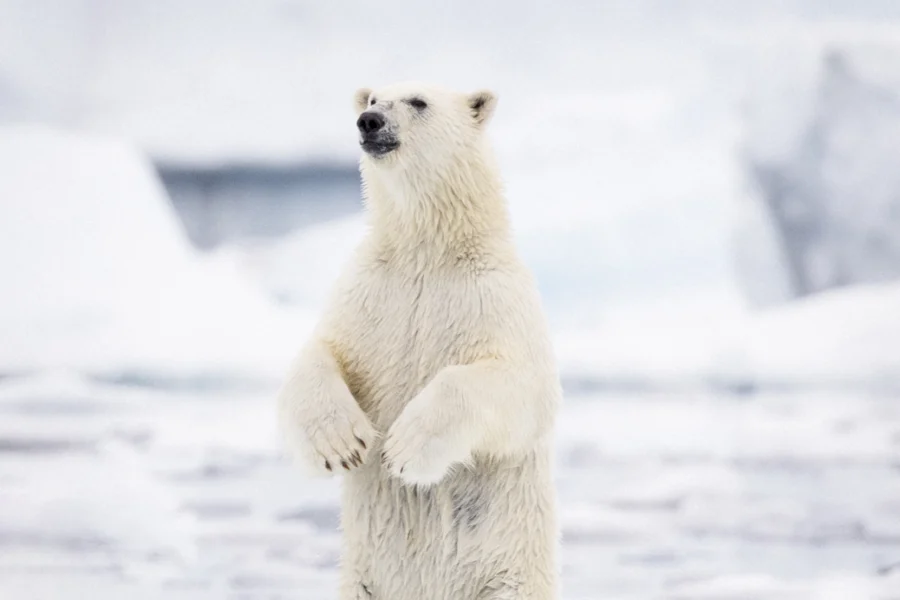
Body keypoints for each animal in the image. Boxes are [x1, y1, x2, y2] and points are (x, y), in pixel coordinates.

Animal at [278, 81, 564, 600]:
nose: (369, 122)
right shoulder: (369, 294)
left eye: (418, 101)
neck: (427, 254)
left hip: (506, 579)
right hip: (361, 584)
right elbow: (321, 351)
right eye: (372, 98)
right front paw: (342, 443)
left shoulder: (496, 298)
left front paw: (403, 450)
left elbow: (521, 387)